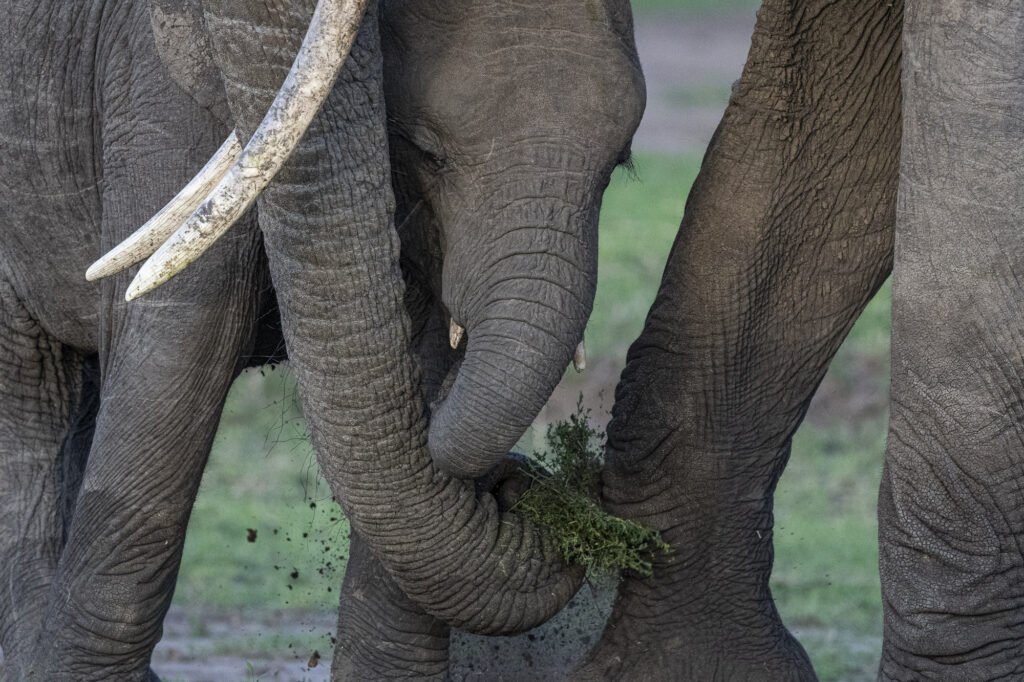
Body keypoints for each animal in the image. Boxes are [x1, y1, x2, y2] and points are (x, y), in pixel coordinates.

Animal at [0, 0, 643, 678]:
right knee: (30, 402)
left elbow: (428, 345)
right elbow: (181, 331)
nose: (525, 484)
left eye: (619, 167)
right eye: (427, 151)